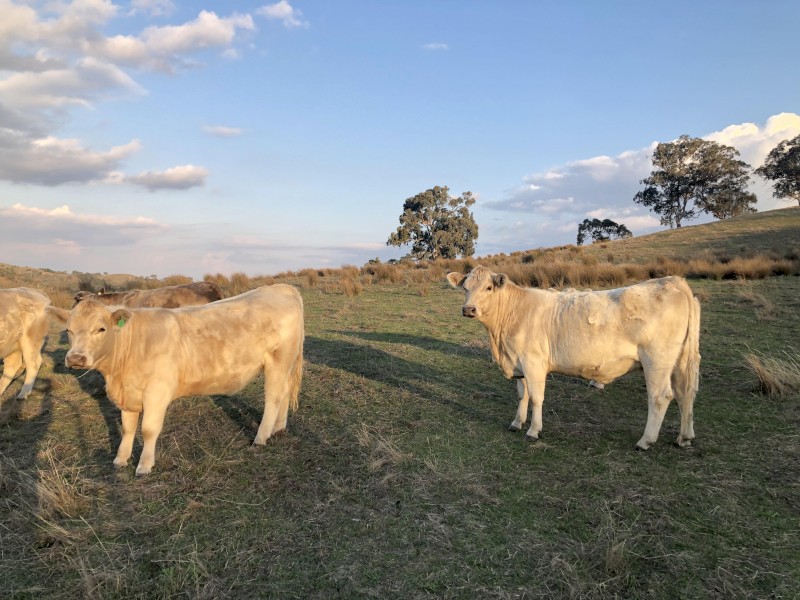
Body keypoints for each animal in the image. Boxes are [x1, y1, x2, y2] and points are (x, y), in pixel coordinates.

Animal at [63, 284, 304, 476]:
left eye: (101, 329)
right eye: (69, 330)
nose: (75, 358)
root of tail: (282, 287)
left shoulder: (157, 392)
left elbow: (148, 429)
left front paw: (144, 466)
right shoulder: (128, 393)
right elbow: (128, 428)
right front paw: (120, 460)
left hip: (278, 361)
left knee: (273, 397)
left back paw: (261, 437)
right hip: (284, 365)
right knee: (284, 393)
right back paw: (278, 428)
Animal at [446, 268, 704, 450]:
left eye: (489, 287)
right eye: (465, 287)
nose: (468, 309)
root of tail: (672, 281)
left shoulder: (534, 363)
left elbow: (536, 398)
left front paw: (533, 430)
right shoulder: (519, 363)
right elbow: (522, 395)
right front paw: (517, 423)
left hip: (656, 360)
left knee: (661, 397)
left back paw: (646, 441)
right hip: (681, 361)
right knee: (686, 393)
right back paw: (684, 437)